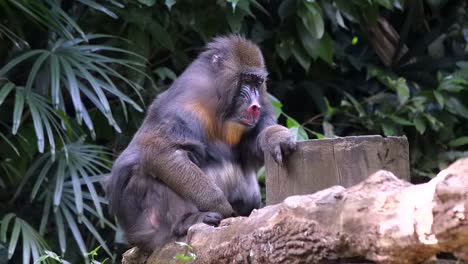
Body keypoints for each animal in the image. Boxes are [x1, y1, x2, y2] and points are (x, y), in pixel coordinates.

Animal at [106, 35, 296, 252]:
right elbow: (161, 152)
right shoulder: (185, 108)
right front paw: (221, 207)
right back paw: (188, 221)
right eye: (246, 80)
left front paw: (276, 136)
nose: (255, 106)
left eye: (257, 82)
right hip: (148, 223)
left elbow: (251, 149)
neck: (219, 106)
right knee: (148, 172)